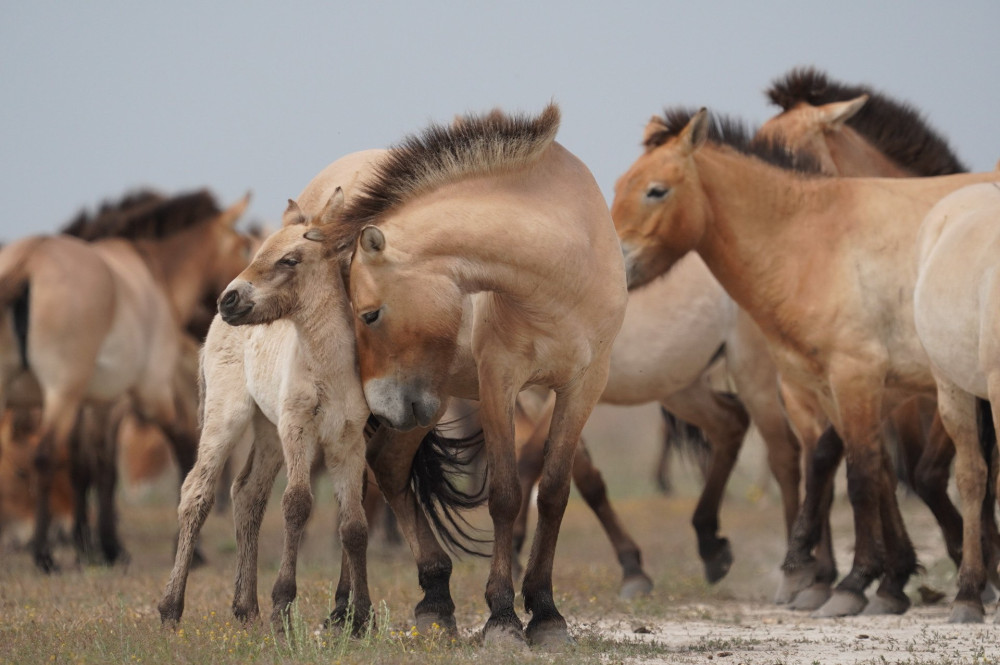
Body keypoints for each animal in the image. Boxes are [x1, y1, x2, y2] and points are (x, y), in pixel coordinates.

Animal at [340, 104, 628, 644]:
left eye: (369, 314)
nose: (377, 401)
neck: (561, 270)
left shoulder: (584, 386)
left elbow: (553, 493)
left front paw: (546, 613)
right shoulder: (499, 383)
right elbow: (505, 497)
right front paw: (502, 617)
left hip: (426, 405)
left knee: (387, 465)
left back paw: (434, 600)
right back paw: (345, 613)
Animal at [608, 106, 1000, 620]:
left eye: (656, 190)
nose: (610, 268)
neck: (813, 241)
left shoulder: (858, 378)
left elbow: (861, 474)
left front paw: (851, 582)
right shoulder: (831, 389)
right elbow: (868, 469)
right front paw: (880, 579)